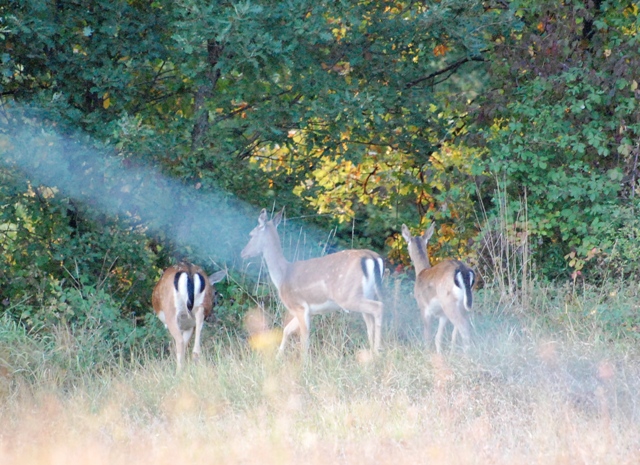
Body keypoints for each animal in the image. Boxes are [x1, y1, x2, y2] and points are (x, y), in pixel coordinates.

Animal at [241, 208, 384, 358]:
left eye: (251, 234)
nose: (242, 253)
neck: (282, 276)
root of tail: (372, 257)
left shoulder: (299, 306)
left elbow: (304, 339)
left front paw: (303, 361)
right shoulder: (308, 311)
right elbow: (286, 330)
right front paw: (278, 356)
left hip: (347, 296)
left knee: (378, 307)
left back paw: (378, 351)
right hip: (366, 294)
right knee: (370, 321)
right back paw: (372, 353)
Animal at [402, 224, 472, 352]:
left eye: (407, 242)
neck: (421, 272)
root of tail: (463, 270)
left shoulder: (424, 308)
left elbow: (427, 336)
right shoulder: (442, 315)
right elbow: (438, 338)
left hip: (448, 303)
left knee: (464, 328)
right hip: (463, 305)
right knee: (457, 331)